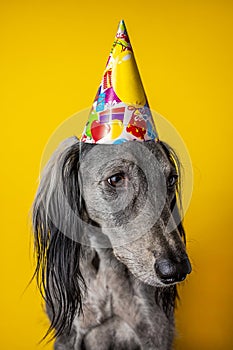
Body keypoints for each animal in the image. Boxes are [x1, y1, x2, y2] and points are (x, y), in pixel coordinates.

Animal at [32, 135, 191, 348]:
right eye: (115, 178)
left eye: (171, 179)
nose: (177, 270)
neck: (110, 273)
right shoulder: (68, 338)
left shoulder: (156, 336)